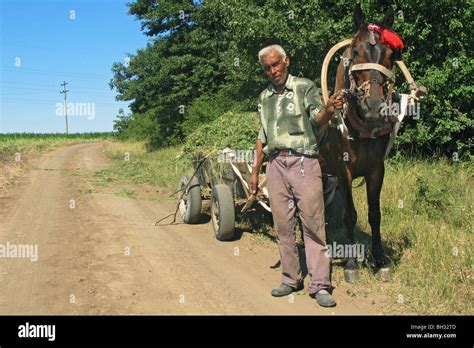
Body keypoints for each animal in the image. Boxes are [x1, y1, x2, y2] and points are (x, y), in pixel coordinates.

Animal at [318, 4, 404, 282]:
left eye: (391, 54)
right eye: (355, 51)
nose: (374, 107)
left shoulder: (376, 170)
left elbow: (374, 214)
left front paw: (380, 259)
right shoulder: (343, 170)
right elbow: (350, 215)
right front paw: (352, 263)